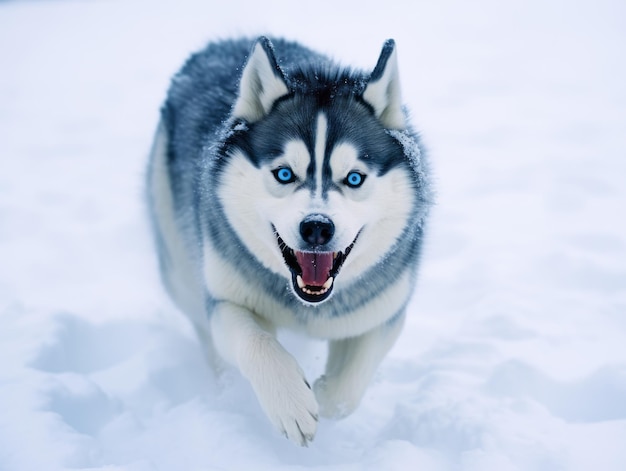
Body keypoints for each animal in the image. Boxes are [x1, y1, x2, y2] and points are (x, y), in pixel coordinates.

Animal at [147, 37, 428, 446]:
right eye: (284, 174)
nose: (317, 227)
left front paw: (324, 397)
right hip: (180, 268)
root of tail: (220, 44)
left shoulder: (382, 312)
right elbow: (256, 341)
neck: (307, 307)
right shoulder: (227, 300)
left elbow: (349, 385)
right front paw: (292, 403)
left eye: (354, 178)